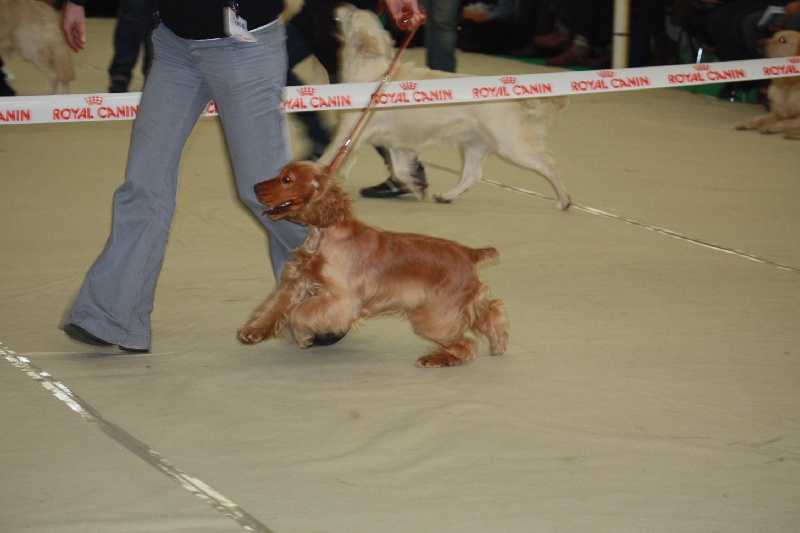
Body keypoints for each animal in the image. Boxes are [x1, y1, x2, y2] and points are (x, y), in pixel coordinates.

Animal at [237, 161, 509, 367]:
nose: (255, 186)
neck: (324, 231)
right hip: (456, 307)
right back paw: (498, 344)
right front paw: (252, 332)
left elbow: (298, 313)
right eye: (281, 174)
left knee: (467, 345)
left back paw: (435, 359)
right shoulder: (298, 280)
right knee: (492, 311)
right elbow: (276, 306)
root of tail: (469, 253)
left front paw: (304, 336)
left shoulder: (342, 299)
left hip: (433, 315)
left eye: (287, 179)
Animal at [319, 4, 571, 209]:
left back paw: (564, 200)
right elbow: (400, 171)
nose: (343, 4)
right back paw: (446, 196)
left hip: (510, 145)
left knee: (549, 164)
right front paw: (417, 187)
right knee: (472, 176)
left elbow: (326, 159)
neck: (374, 72)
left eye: (352, 14)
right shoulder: (396, 143)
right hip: (474, 143)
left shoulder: (349, 133)